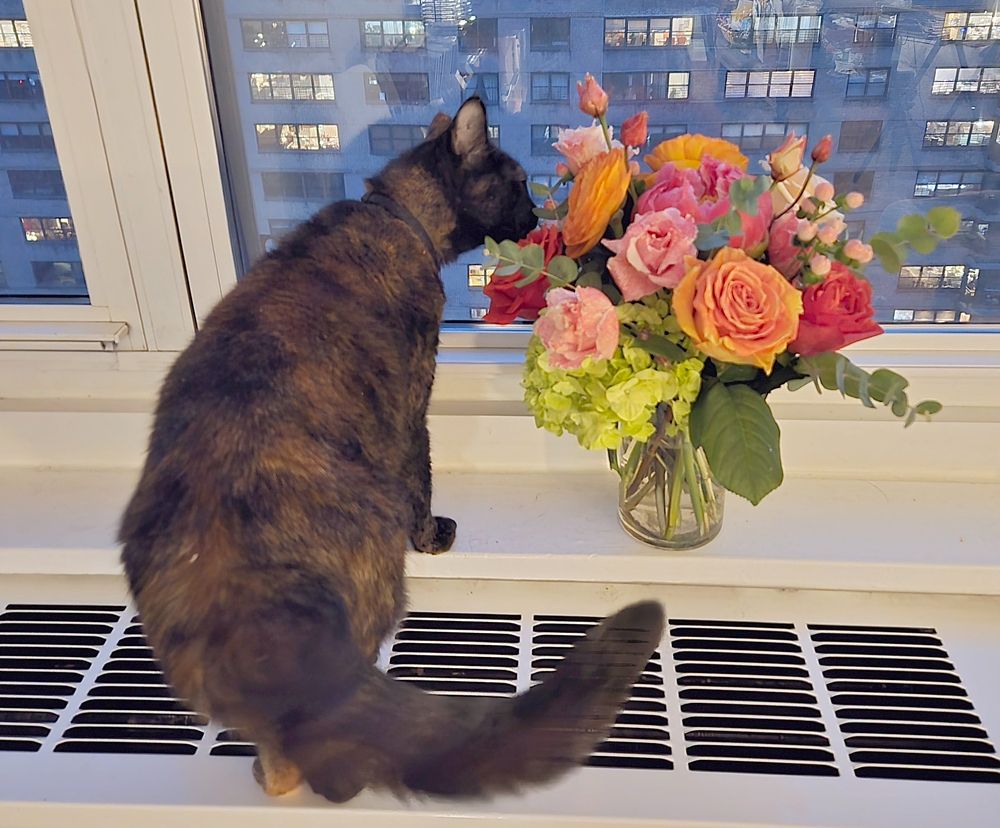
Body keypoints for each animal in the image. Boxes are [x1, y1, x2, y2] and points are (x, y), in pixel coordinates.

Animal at [119, 97, 665, 802]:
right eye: (517, 182)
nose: (536, 217)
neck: (394, 213)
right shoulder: (412, 401)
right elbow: (422, 476)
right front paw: (433, 535)